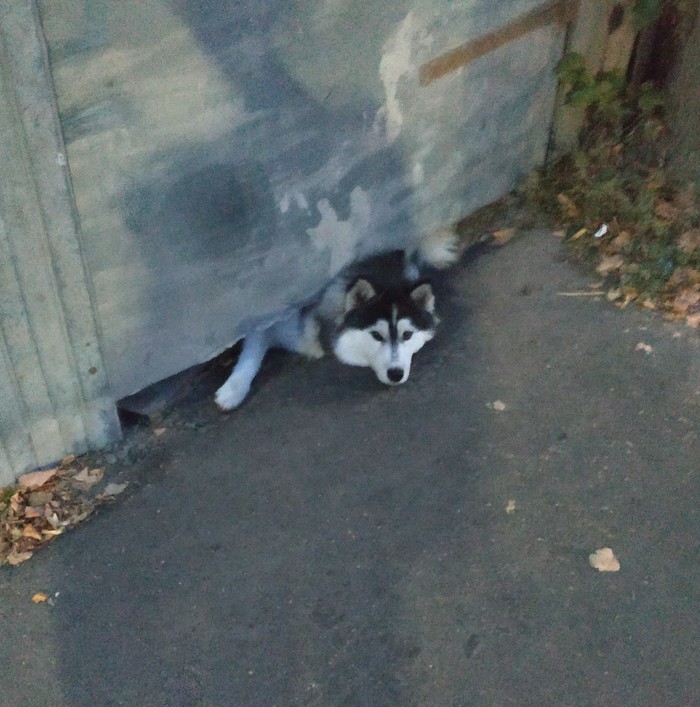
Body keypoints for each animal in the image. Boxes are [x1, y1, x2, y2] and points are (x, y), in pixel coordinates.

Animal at [215, 230, 460, 412]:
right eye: (376, 335)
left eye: (407, 335)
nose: (396, 374)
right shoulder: (276, 320)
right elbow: (252, 351)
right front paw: (232, 391)